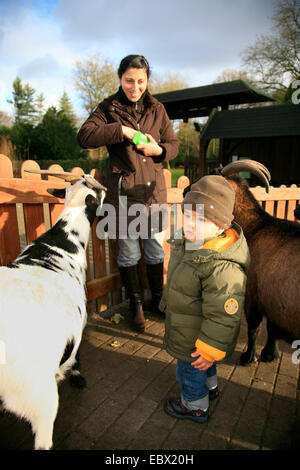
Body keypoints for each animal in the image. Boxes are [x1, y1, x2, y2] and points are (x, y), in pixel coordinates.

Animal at [0, 171, 105, 450]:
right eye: (97, 193)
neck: (65, 241)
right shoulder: (79, 324)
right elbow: (77, 353)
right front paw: (77, 376)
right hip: (39, 395)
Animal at [218, 161, 300, 364]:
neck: (254, 227)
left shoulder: (253, 294)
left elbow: (254, 328)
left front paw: (248, 357)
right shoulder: (271, 298)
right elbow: (271, 328)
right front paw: (270, 354)